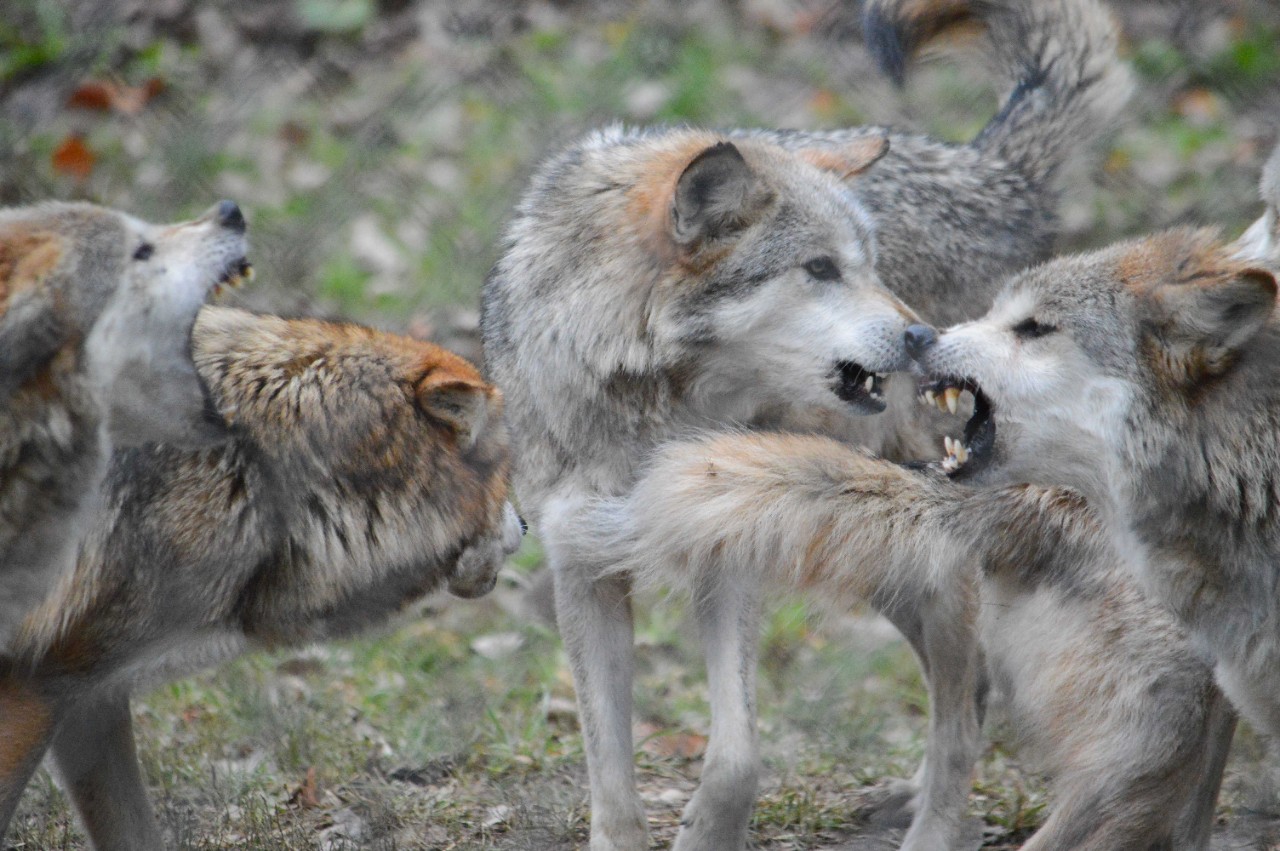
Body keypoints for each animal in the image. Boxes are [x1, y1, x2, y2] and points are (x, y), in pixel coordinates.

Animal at [481, 0, 1131, 846]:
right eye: (820, 269)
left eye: (870, 263)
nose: (926, 336)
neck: (648, 405)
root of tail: (991, 171)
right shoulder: (583, 568)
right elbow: (611, 775)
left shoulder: (725, 549)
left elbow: (736, 757)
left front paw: (706, 831)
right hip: (876, 546)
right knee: (973, 684)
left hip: (928, 545)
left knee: (962, 708)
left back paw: (935, 824)